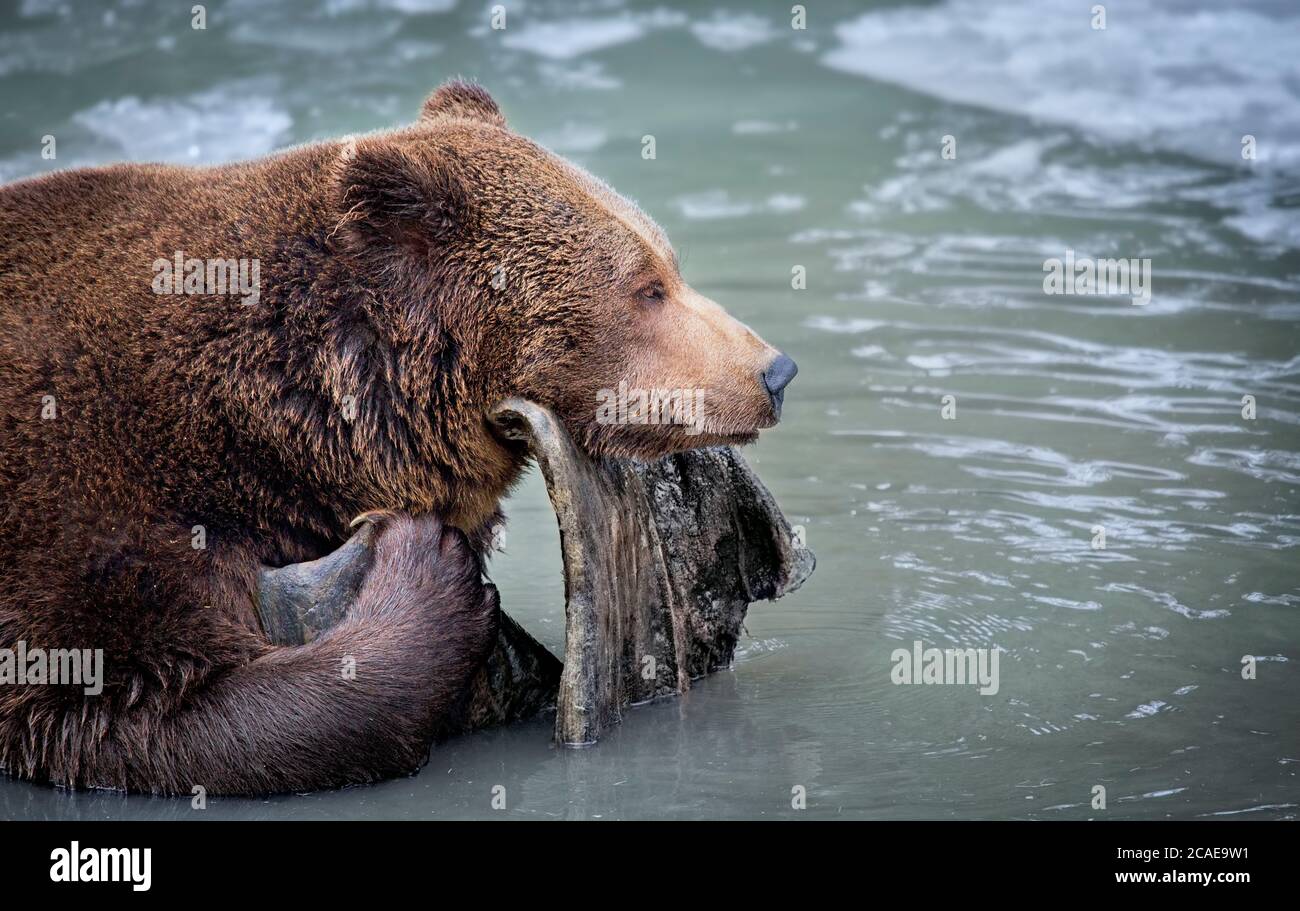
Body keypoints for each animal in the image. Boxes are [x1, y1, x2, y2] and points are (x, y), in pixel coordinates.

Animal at [0, 81, 798, 796]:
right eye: (645, 288)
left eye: (667, 263)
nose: (775, 370)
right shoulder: (83, 503)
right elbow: (126, 696)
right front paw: (424, 564)